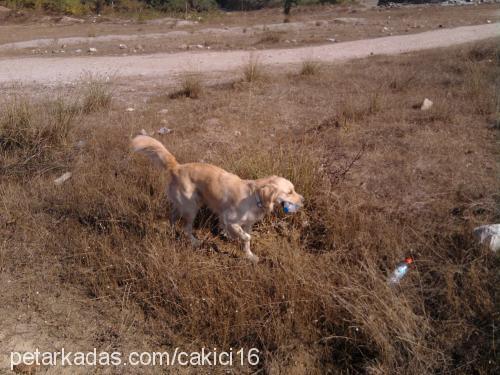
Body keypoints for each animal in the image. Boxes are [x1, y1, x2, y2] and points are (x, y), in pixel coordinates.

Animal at [131, 137, 302, 262]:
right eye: (289, 192)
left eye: (294, 190)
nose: (303, 200)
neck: (254, 196)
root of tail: (177, 167)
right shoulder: (229, 219)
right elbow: (244, 236)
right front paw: (234, 237)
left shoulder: (248, 224)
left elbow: (247, 240)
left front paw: (249, 256)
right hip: (191, 208)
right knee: (186, 228)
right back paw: (194, 241)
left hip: (185, 205)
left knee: (172, 217)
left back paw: (172, 233)